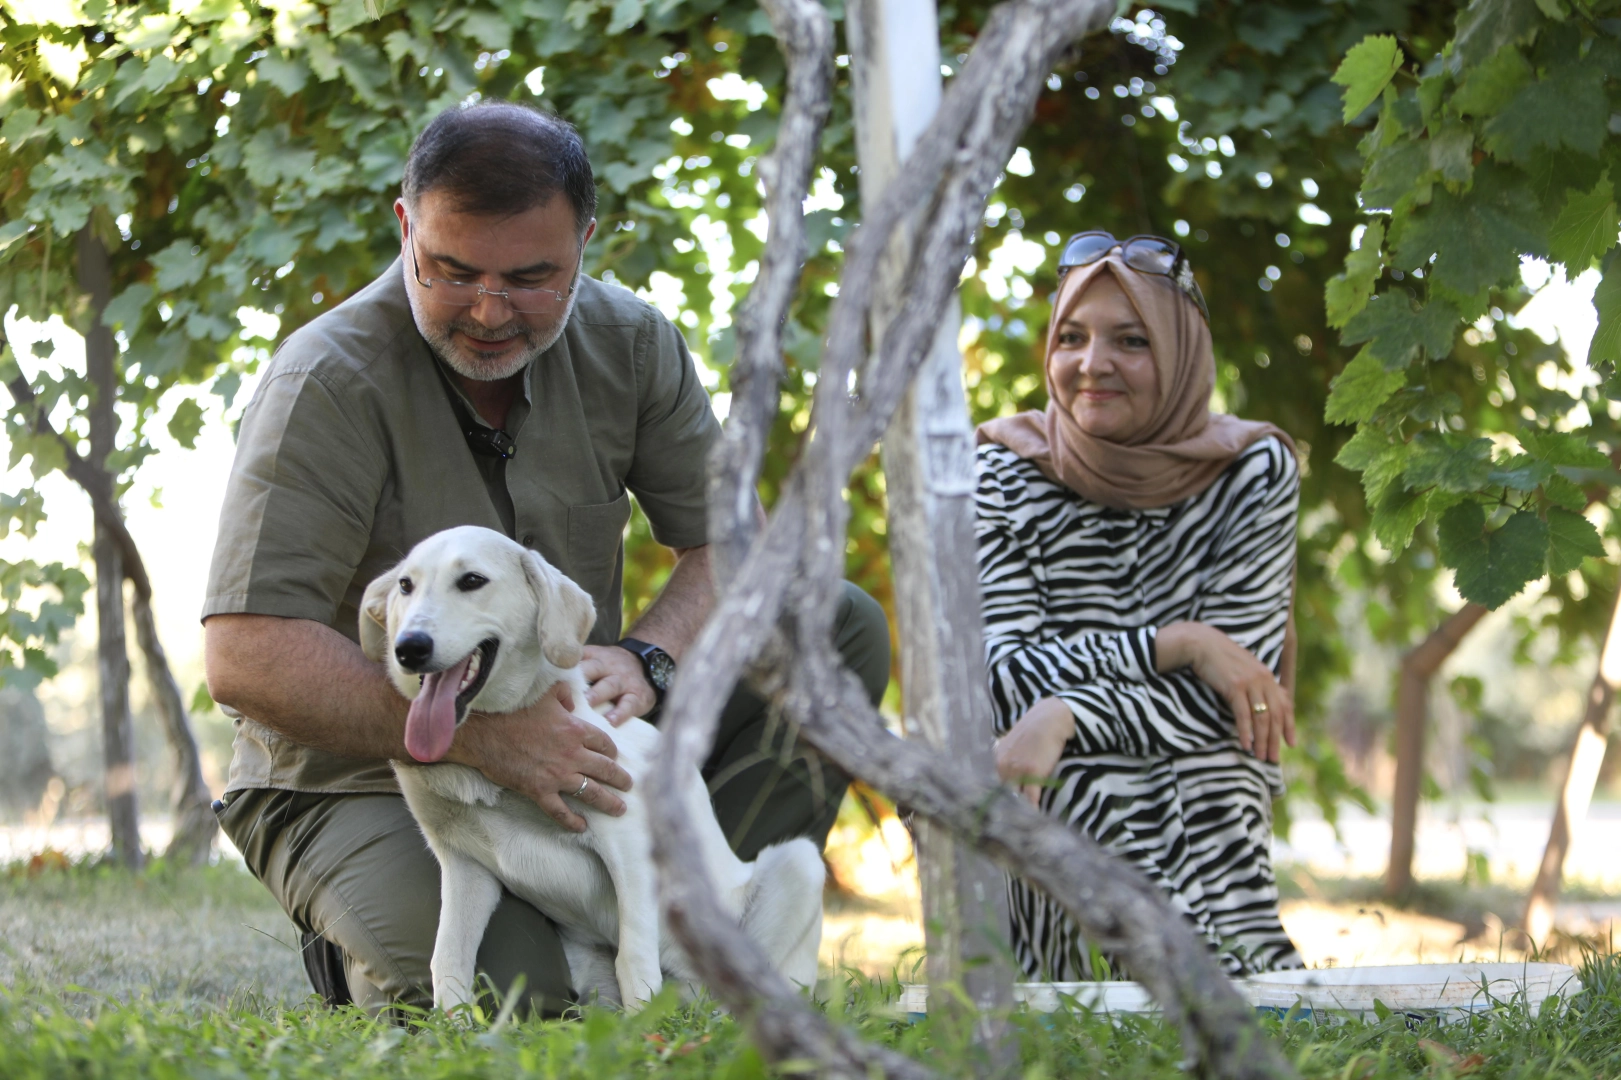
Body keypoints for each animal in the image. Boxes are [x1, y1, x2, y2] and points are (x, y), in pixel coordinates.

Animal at [364, 522, 823, 1011]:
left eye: (472, 581)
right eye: (405, 586)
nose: (409, 648)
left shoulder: (629, 835)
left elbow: (634, 956)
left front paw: (644, 1025)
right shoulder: (463, 863)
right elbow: (448, 956)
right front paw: (453, 1025)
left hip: (800, 865)